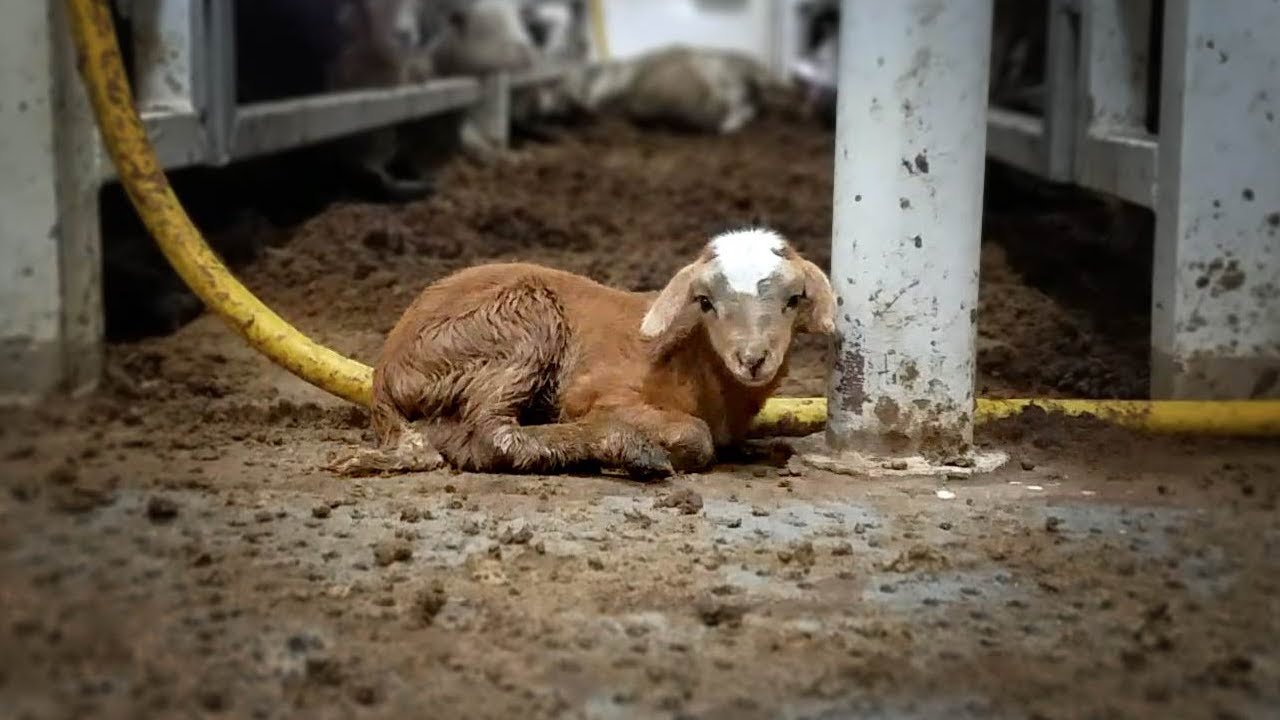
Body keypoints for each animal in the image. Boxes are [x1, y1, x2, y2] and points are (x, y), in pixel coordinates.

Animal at [338, 229, 835, 479]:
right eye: (705, 301)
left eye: (793, 300)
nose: (752, 358)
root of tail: (384, 376)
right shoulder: (599, 391)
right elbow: (695, 436)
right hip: (518, 324)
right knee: (489, 434)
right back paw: (628, 451)